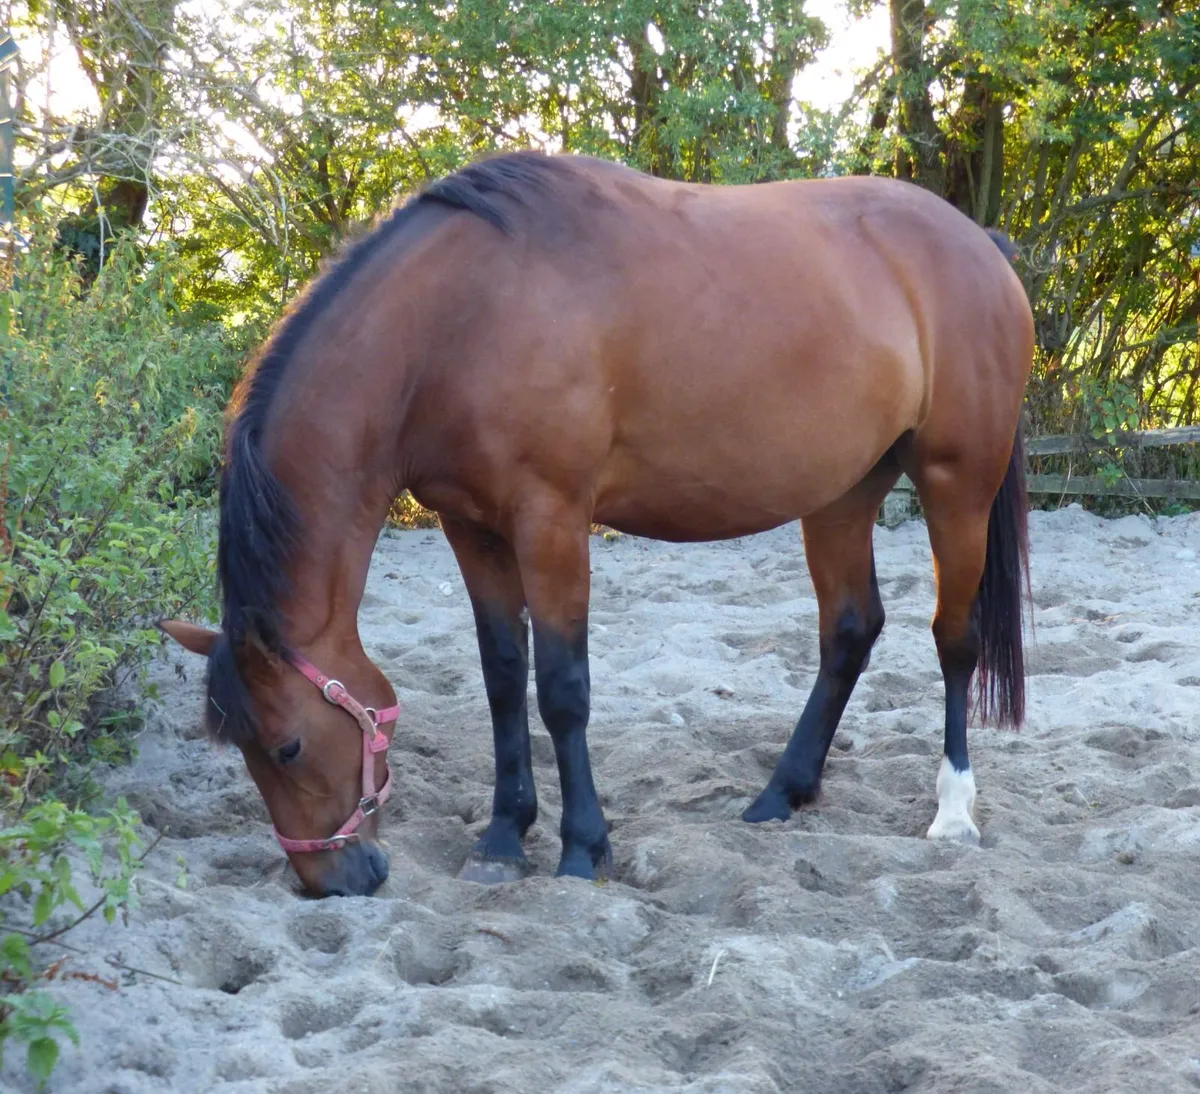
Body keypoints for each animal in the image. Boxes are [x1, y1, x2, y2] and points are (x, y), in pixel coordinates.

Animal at [160, 150, 1034, 898]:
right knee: (851, 630)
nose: (329, 882)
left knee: (953, 640)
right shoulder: (469, 525)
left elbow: (564, 688)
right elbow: (503, 678)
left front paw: (583, 847)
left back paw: (952, 812)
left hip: (956, 485)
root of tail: (980, 245)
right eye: (241, 749)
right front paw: (503, 838)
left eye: (287, 745)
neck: (459, 318)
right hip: (843, 493)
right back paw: (780, 793)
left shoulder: (551, 518)